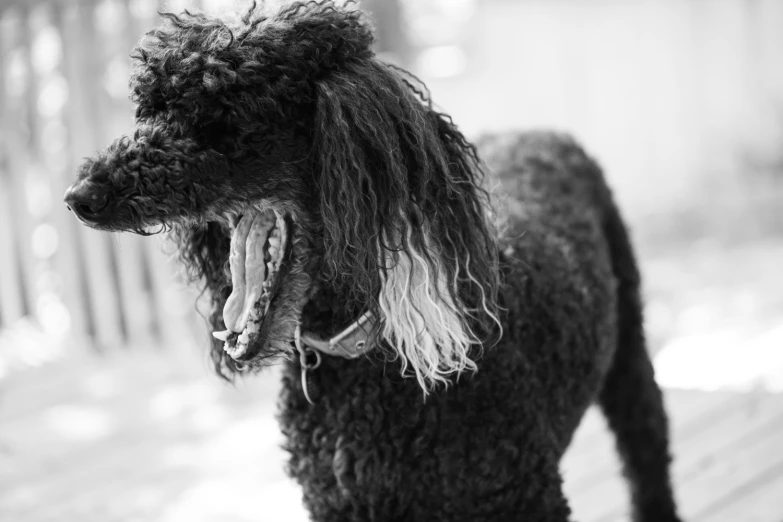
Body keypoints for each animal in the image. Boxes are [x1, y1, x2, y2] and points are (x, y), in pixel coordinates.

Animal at [64, 2, 684, 516]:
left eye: (221, 119)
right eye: (148, 113)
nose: (80, 198)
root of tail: (539, 131)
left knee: (648, 459)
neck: (364, 362)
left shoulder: (520, 495)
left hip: (630, 358)